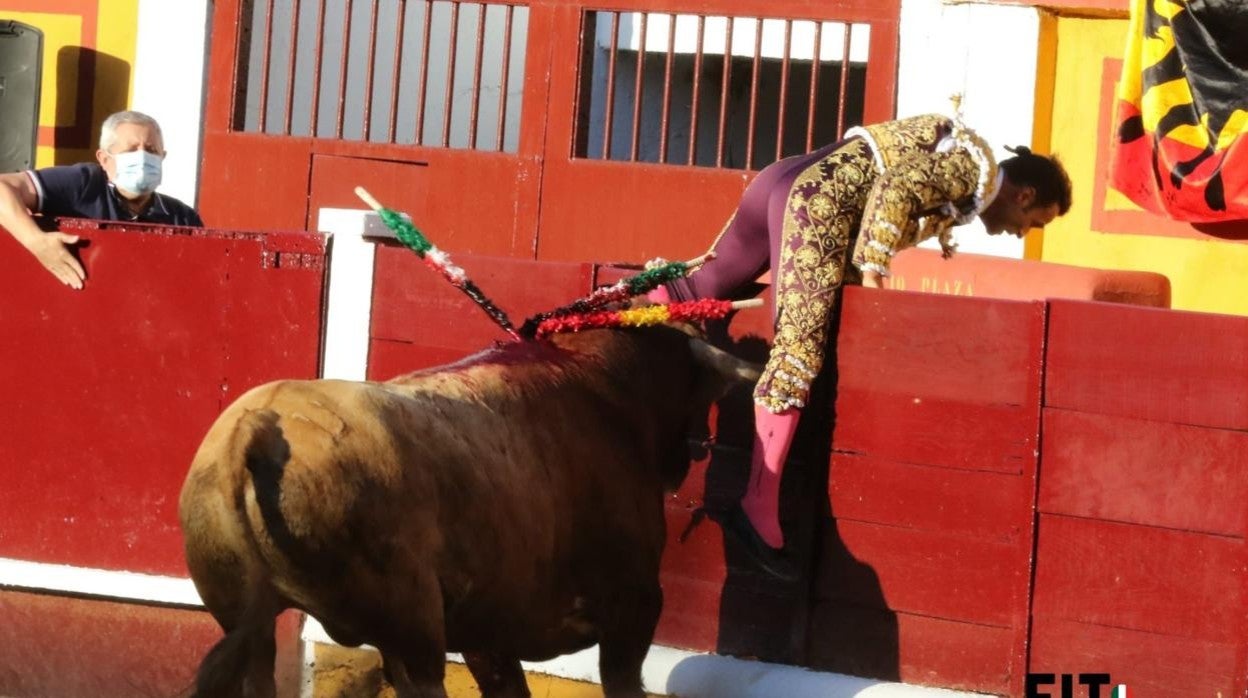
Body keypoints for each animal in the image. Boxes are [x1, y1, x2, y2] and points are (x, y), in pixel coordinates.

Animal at [179, 327, 753, 698]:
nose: (688, 457)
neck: (603, 387)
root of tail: (257, 426)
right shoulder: (634, 607)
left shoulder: (488, 631)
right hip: (412, 629)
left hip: (243, 618)